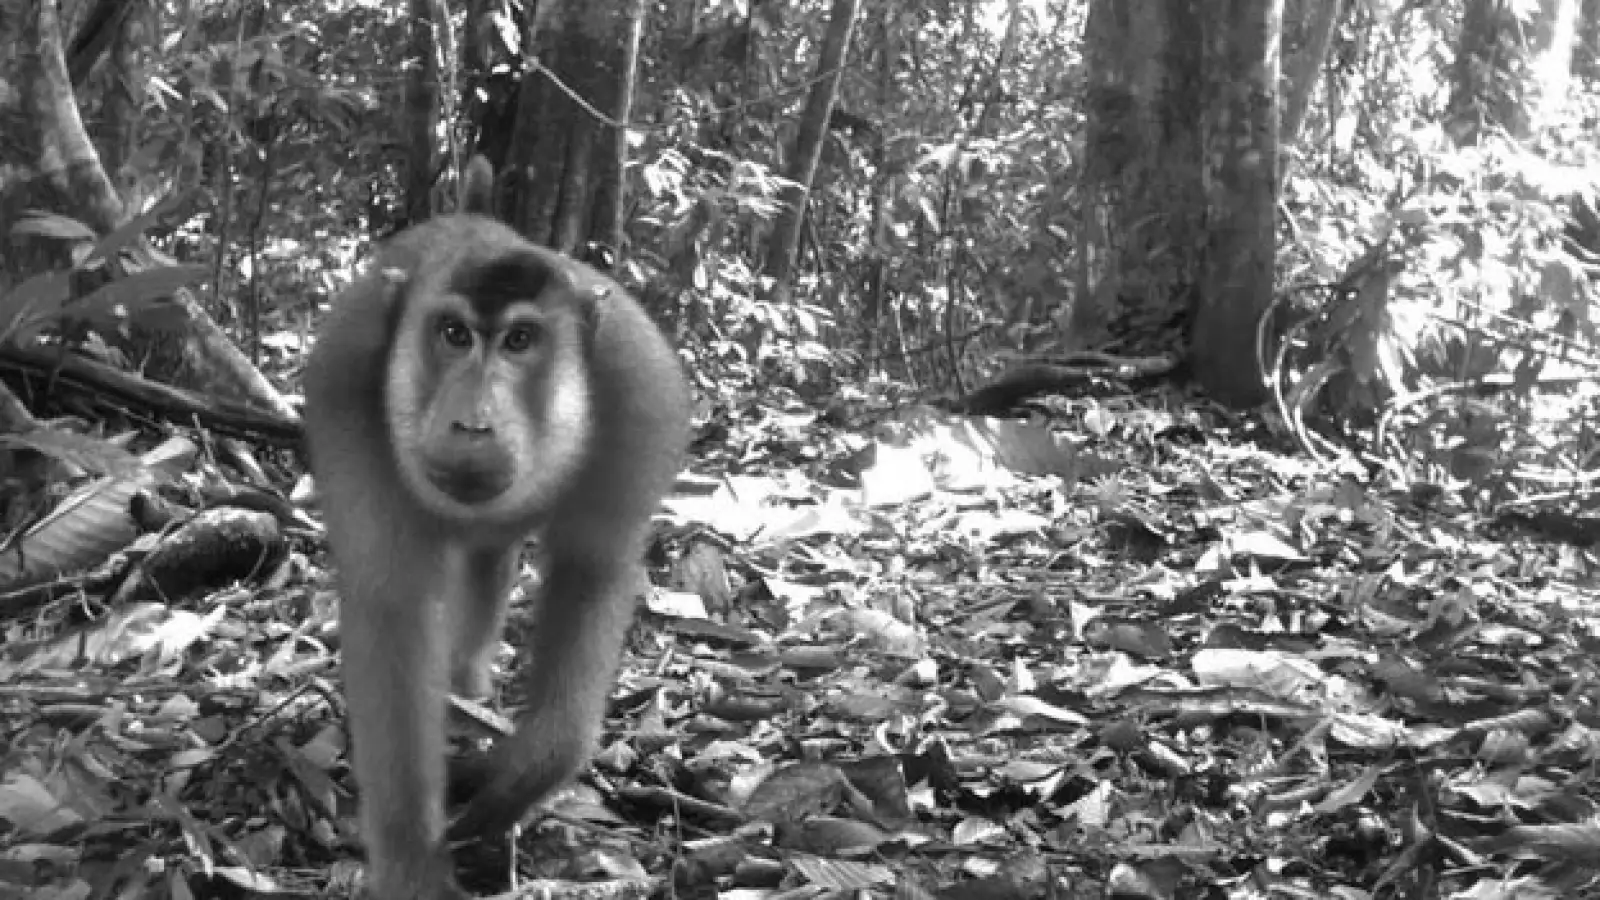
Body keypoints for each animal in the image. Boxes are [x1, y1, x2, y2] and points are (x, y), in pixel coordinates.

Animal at [302, 156, 690, 900]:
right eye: (454, 335)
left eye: (519, 341)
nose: (473, 423)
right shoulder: (345, 390)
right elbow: (393, 610)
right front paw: (412, 865)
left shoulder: (637, 393)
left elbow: (592, 570)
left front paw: (526, 770)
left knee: (493, 556)